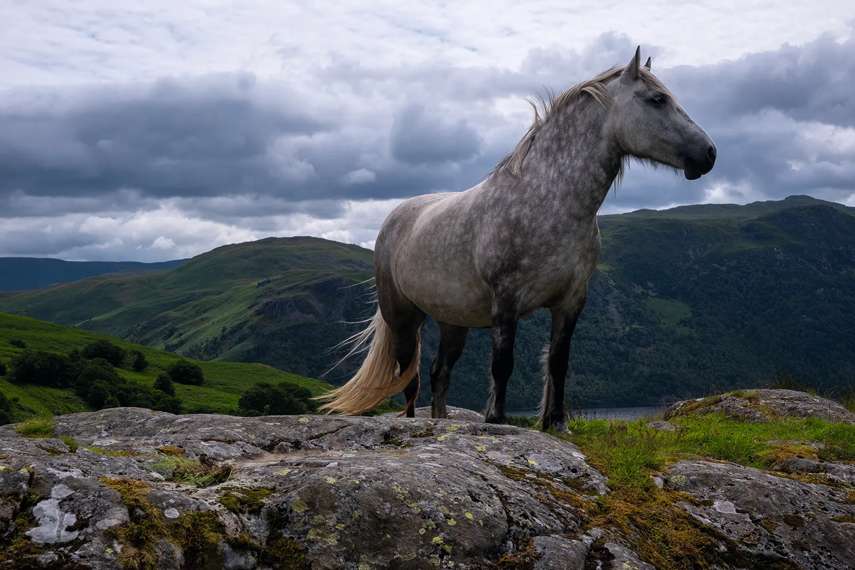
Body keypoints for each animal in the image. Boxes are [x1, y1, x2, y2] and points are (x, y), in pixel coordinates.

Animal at [319, 48, 716, 431]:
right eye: (657, 99)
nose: (709, 154)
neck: (547, 202)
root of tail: (395, 217)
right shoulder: (506, 301)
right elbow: (503, 364)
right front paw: (496, 420)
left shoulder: (571, 302)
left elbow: (558, 362)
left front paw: (555, 422)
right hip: (403, 316)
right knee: (409, 377)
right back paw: (415, 423)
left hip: (453, 322)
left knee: (438, 372)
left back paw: (441, 422)